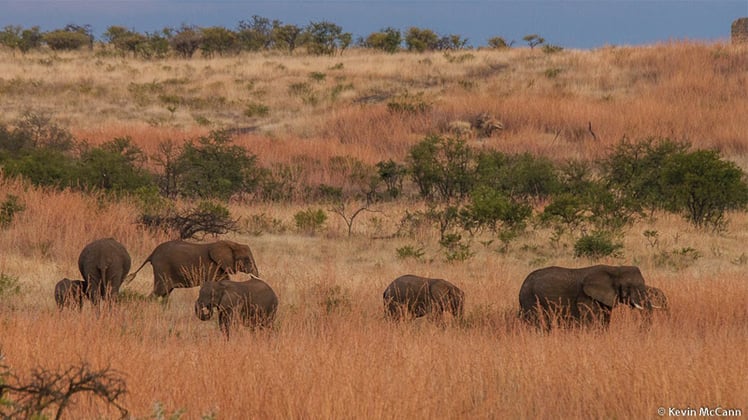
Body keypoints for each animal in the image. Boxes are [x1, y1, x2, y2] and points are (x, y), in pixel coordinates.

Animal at [126, 240, 260, 298]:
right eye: (247, 259)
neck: (231, 243)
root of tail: (152, 253)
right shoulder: (212, 265)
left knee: (165, 293)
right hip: (162, 267)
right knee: (160, 291)